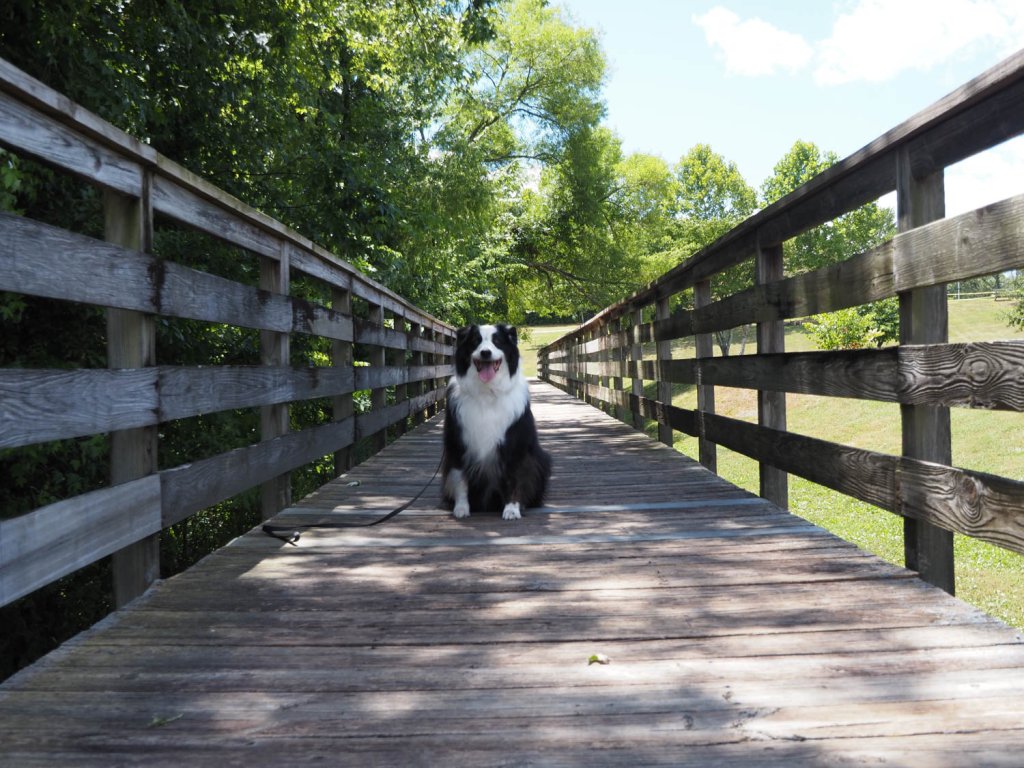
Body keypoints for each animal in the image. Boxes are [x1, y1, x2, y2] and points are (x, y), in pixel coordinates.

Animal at [442, 325, 552, 524]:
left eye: (498, 342)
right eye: (475, 341)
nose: (485, 352)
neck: (488, 392)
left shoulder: (515, 446)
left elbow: (514, 478)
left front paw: (512, 509)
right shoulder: (457, 443)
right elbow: (459, 478)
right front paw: (461, 508)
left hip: (541, 460)